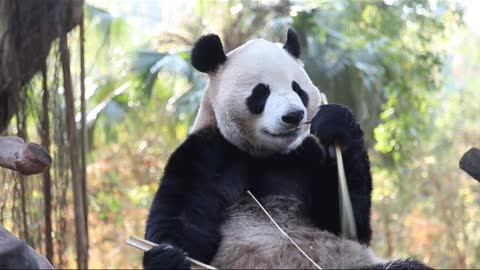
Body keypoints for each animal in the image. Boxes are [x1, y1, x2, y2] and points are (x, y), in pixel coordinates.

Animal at [142, 28, 428, 268]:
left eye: (298, 89)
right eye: (260, 92)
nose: (294, 115)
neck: (264, 154)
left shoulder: (306, 155)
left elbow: (345, 222)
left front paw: (336, 123)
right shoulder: (207, 153)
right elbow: (184, 220)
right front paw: (168, 256)